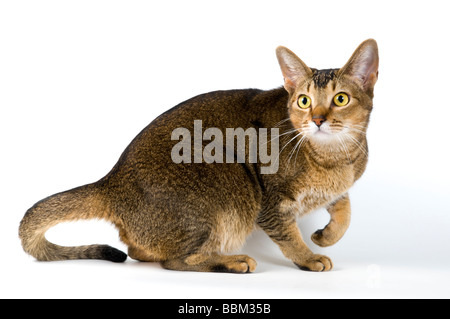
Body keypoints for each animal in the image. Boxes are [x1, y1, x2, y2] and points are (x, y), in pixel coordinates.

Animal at [20, 39, 380, 272]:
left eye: (341, 99)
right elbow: (289, 234)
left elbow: (345, 209)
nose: (317, 119)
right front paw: (308, 257)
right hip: (229, 182)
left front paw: (327, 236)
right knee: (175, 261)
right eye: (304, 101)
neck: (335, 157)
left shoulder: (340, 186)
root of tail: (111, 182)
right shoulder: (270, 201)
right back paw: (231, 262)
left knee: (139, 250)